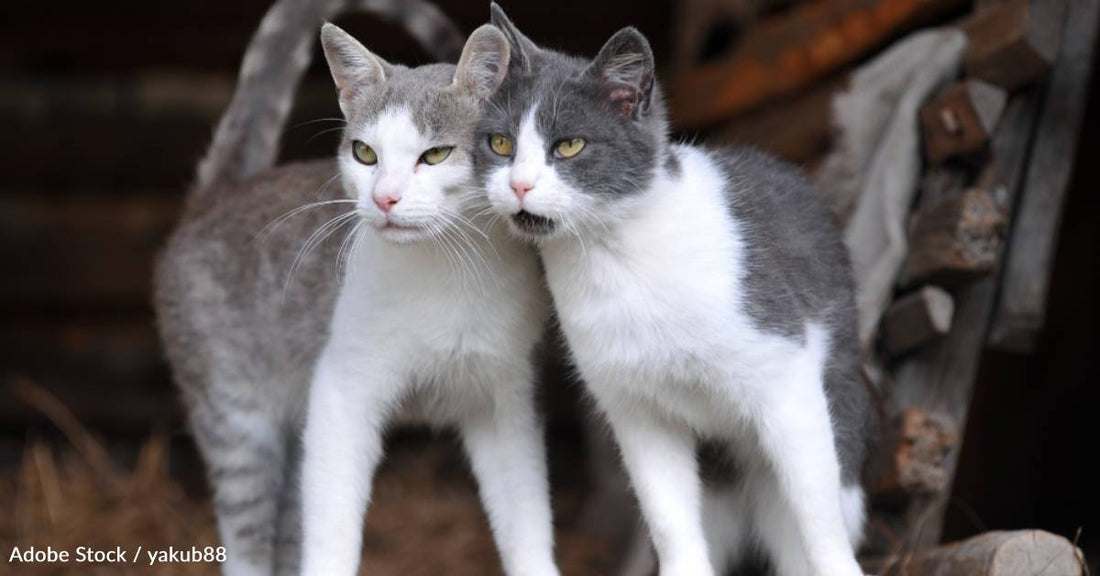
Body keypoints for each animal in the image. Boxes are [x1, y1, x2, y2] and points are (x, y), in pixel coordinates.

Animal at [155, 1, 558, 576]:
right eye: (365, 154)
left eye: (435, 155)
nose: (385, 198)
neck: (449, 273)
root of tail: (218, 195)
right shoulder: (340, 393)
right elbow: (331, 532)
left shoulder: (506, 403)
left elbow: (525, 522)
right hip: (234, 416)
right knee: (247, 535)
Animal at [477, 5, 871, 576]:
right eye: (500, 144)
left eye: (570, 145)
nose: (519, 185)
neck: (615, 257)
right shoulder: (635, 408)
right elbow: (667, 514)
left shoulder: (786, 379)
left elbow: (816, 514)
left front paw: (835, 561)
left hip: (839, 399)